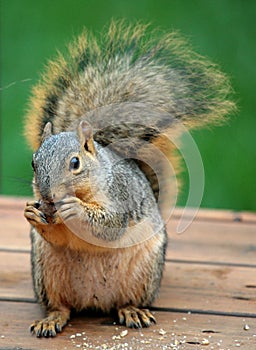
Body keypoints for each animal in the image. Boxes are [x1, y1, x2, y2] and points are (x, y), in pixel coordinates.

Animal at [23, 21, 234, 336]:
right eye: (34, 163)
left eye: (75, 163)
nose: (48, 196)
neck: (95, 180)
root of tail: (94, 300)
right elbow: (56, 236)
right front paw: (32, 213)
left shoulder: (121, 195)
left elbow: (109, 225)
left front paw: (76, 210)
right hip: (47, 273)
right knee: (61, 306)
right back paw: (51, 319)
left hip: (144, 272)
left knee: (127, 301)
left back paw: (133, 311)